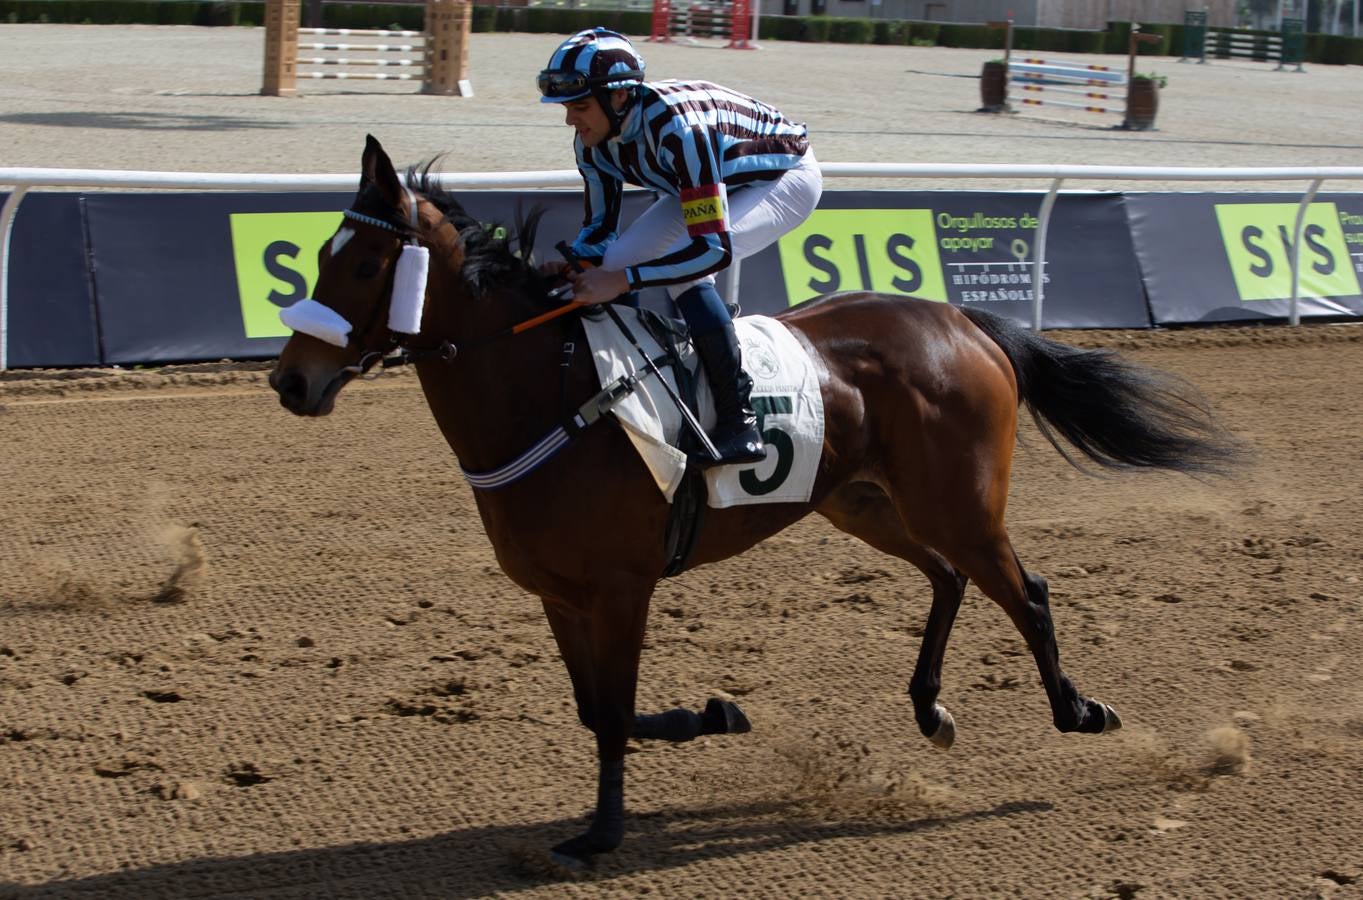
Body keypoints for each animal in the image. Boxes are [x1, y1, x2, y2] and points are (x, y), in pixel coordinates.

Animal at [271, 135, 1243, 872]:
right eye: (317, 256)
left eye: (366, 261)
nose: (290, 381)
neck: (550, 393)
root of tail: (962, 321)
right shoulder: (559, 593)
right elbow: (594, 710)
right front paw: (699, 726)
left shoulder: (622, 588)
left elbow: (613, 712)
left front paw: (609, 827)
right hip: (865, 503)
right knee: (947, 580)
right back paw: (929, 710)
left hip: (958, 506)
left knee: (1025, 592)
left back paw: (1078, 710)